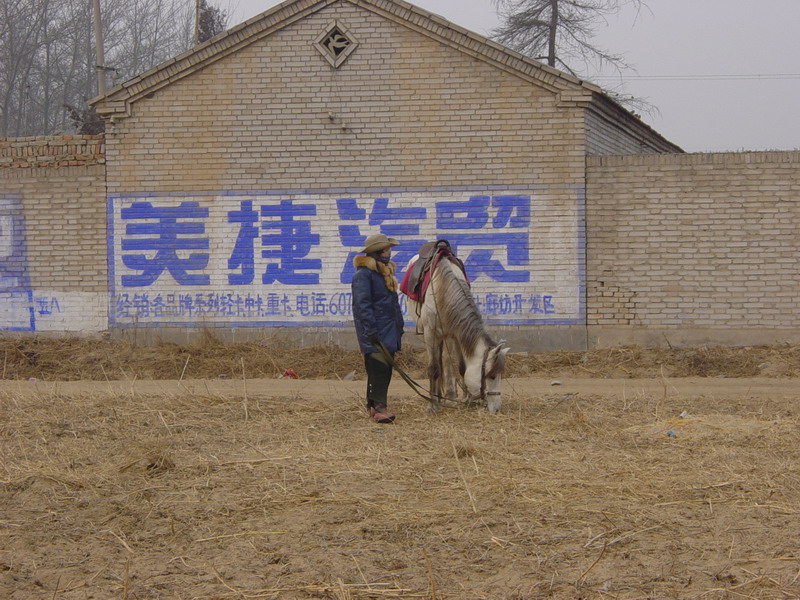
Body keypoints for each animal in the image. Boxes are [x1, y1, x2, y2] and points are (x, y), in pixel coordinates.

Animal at [404, 244, 510, 412]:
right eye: (492, 376)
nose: (497, 408)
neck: (442, 289)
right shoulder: (430, 332)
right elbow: (433, 368)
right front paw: (432, 405)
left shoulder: (454, 334)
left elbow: (461, 367)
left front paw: (465, 398)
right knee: (436, 363)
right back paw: (437, 397)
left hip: (445, 336)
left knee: (445, 361)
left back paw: (448, 396)